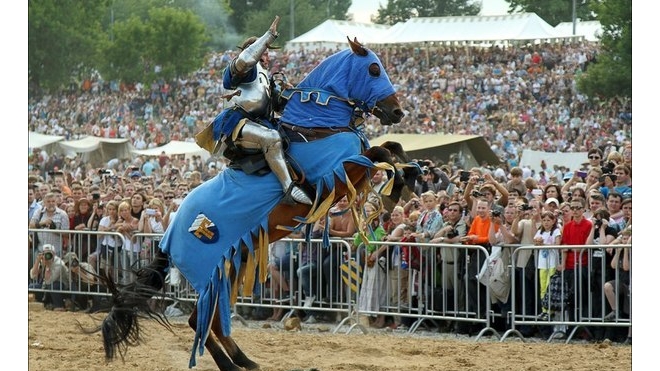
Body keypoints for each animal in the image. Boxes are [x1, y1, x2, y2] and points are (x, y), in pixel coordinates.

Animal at [96, 37, 416, 371]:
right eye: (374, 69)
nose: (397, 111)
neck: (317, 128)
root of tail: (167, 238)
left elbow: (392, 146)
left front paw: (415, 174)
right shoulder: (339, 176)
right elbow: (380, 152)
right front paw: (395, 188)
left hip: (230, 267)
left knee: (210, 320)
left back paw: (245, 360)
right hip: (214, 274)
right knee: (200, 321)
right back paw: (231, 364)